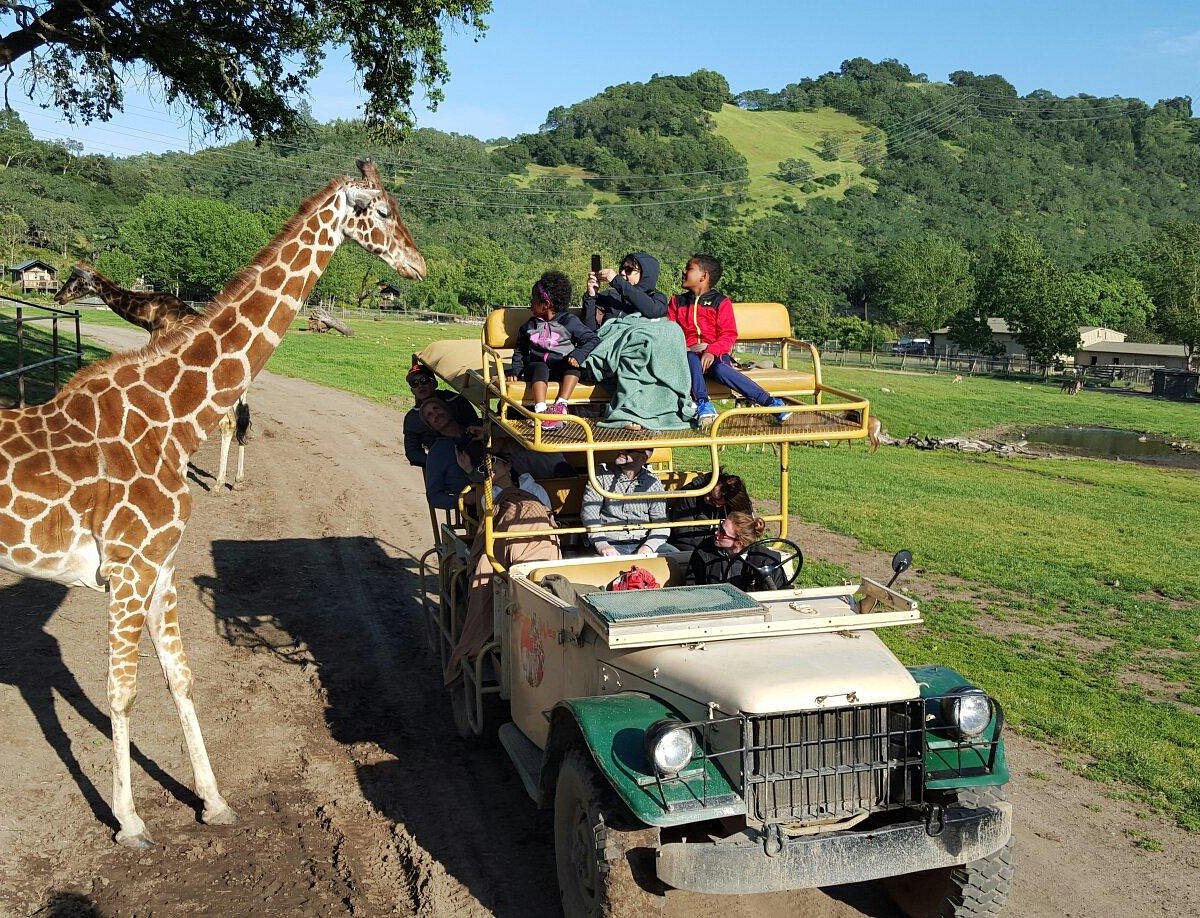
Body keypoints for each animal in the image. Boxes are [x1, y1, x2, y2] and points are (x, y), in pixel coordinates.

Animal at [57, 262, 254, 489]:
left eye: (74, 277)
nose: (58, 296)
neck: (149, 317)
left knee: (227, 423)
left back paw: (219, 483)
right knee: (241, 424)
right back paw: (238, 480)